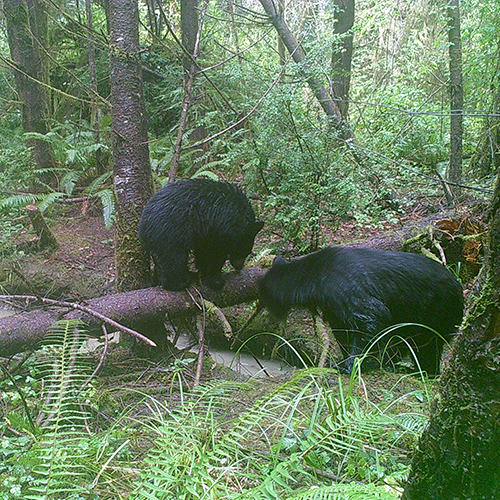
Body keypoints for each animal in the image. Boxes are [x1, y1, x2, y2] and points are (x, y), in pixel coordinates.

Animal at [260, 246, 462, 376]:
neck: (315, 277)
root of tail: (459, 287)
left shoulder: (343, 289)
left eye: (265, 296)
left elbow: (373, 316)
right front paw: (345, 360)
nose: (268, 312)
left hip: (435, 312)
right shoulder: (333, 307)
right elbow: (343, 331)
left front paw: (350, 366)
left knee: (426, 346)